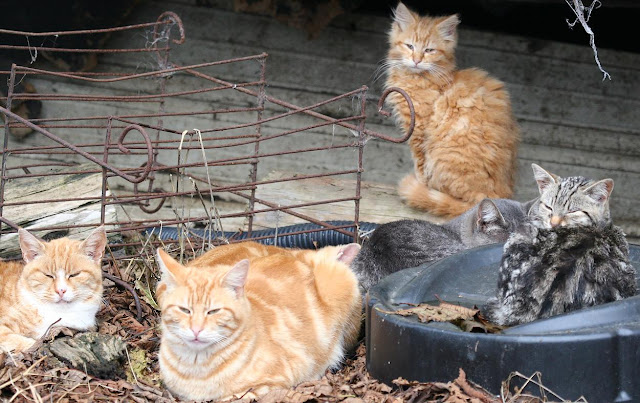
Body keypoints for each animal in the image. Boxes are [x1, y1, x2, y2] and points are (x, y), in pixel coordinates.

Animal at [384, 2, 520, 218]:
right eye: (409, 46)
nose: (416, 60)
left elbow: (420, 164)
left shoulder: (419, 130)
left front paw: (421, 184)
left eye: (429, 50)